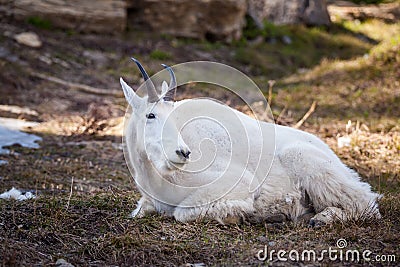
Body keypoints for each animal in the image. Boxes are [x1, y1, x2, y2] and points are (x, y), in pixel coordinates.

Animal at [120, 59, 380, 227]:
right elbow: (141, 210)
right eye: (150, 115)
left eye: (175, 117)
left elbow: (182, 213)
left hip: (307, 161)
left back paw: (321, 219)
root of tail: (335, 157)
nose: (183, 153)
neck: (157, 177)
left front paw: (240, 213)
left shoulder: (235, 182)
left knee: (365, 203)